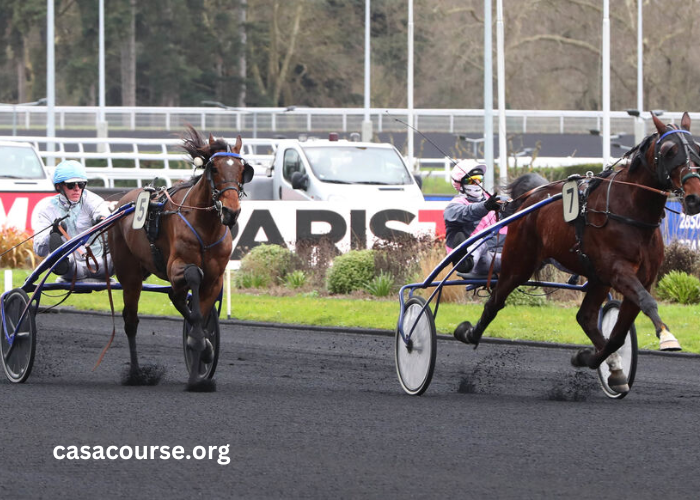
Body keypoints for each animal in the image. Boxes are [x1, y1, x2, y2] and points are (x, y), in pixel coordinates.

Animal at [108, 126, 253, 390]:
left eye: (241, 169)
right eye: (214, 169)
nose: (231, 211)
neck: (205, 227)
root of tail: (124, 201)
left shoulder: (215, 279)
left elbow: (200, 314)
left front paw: (203, 353)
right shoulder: (177, 266)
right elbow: (192, 279)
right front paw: (198, 346)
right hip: (130, 275)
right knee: (131, 320)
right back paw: (136, 374)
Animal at [454, 112, 700, 394]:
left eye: (697, 148)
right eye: (670, 151)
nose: (694, 198)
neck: (630, 212)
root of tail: (532, 198)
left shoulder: (640, 277)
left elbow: (618, 335)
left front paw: (598, 362)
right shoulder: (619, 270)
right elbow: (647, 302)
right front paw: (666, 336)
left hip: (597, 278)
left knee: (586, 317)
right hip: (519, 262)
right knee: (494, 302)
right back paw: (469, 333)